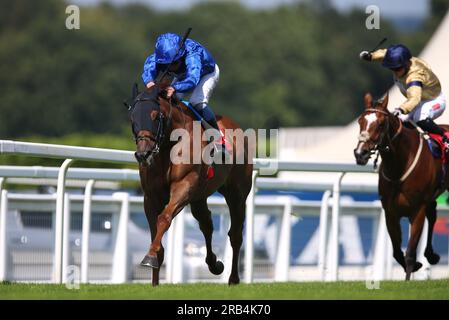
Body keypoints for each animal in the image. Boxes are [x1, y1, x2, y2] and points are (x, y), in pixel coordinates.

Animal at [128, 87, 254, 284]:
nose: (143, 154)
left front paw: (149, 257)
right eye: (133, 118)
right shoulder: (150, 197)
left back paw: (233, 278)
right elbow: (156, 233)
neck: (169, 145)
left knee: (235, 235)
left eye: (155, 116)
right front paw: (154, 277)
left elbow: (164, 218)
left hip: (237, 195)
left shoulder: (183, 187)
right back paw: (214, 264)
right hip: (199, 196)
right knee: (206, 224)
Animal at [354, 92, 444, 280]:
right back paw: (431, 254)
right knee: (433, 216)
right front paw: (418, 264)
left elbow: (410, 252)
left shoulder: (417, 211)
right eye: (360, 121)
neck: (399, 166)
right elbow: (396, 251)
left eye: (381, 124)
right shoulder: (390, 212)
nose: (360, 153)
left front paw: (409, 277)